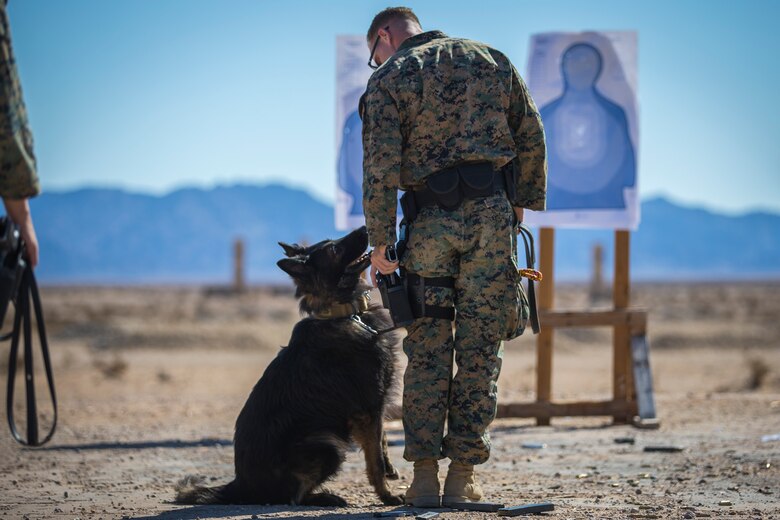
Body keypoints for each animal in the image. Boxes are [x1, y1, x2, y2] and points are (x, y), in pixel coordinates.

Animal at [174, 225, 406, 506]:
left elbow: (382, 442)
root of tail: (240, 485)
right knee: (294, 497)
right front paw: (387, 495)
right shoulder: (368, 410)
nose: (364, 228)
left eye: (332, 241)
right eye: (334, 249)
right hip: (327, 445)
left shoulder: (376, 409)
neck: (346, 313)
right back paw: (327, 498)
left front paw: (391, 470)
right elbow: (374, 462)